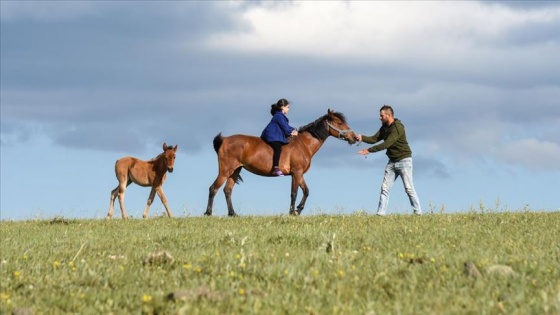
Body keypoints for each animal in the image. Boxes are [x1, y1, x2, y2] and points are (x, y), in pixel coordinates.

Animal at [205, 109, 354, 217]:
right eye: (339, 123)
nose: (353, 137)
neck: (303, 144)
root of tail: (224, 140)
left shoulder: (299, 174)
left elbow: (306, 191)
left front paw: (298, 210)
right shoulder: (296, 173)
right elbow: (294, 193)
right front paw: (292, 212)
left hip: (235, 171)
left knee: (227, 190)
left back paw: (232, 214)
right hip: (225, 171)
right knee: (213, 188)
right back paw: (208, 213)